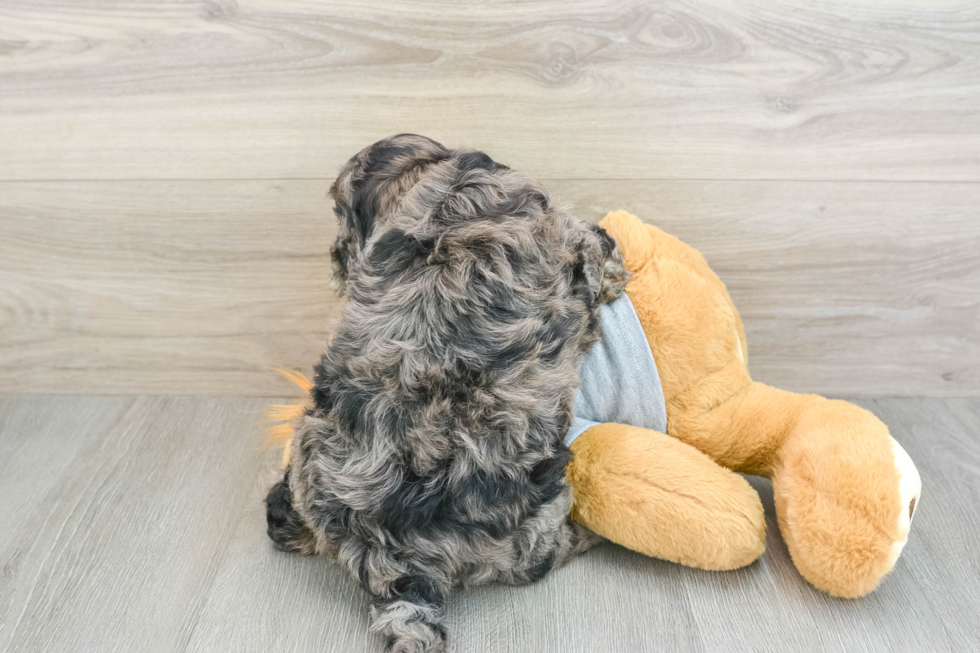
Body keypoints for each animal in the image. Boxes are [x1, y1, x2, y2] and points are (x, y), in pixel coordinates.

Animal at [264, 134, 624, 652]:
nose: (336, 261)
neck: (437, 180)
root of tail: (396, 567)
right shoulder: (571, 238)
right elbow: (599, 250)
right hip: (534, 520)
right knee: (540, 557)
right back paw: (586, 535)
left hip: (308, 448)